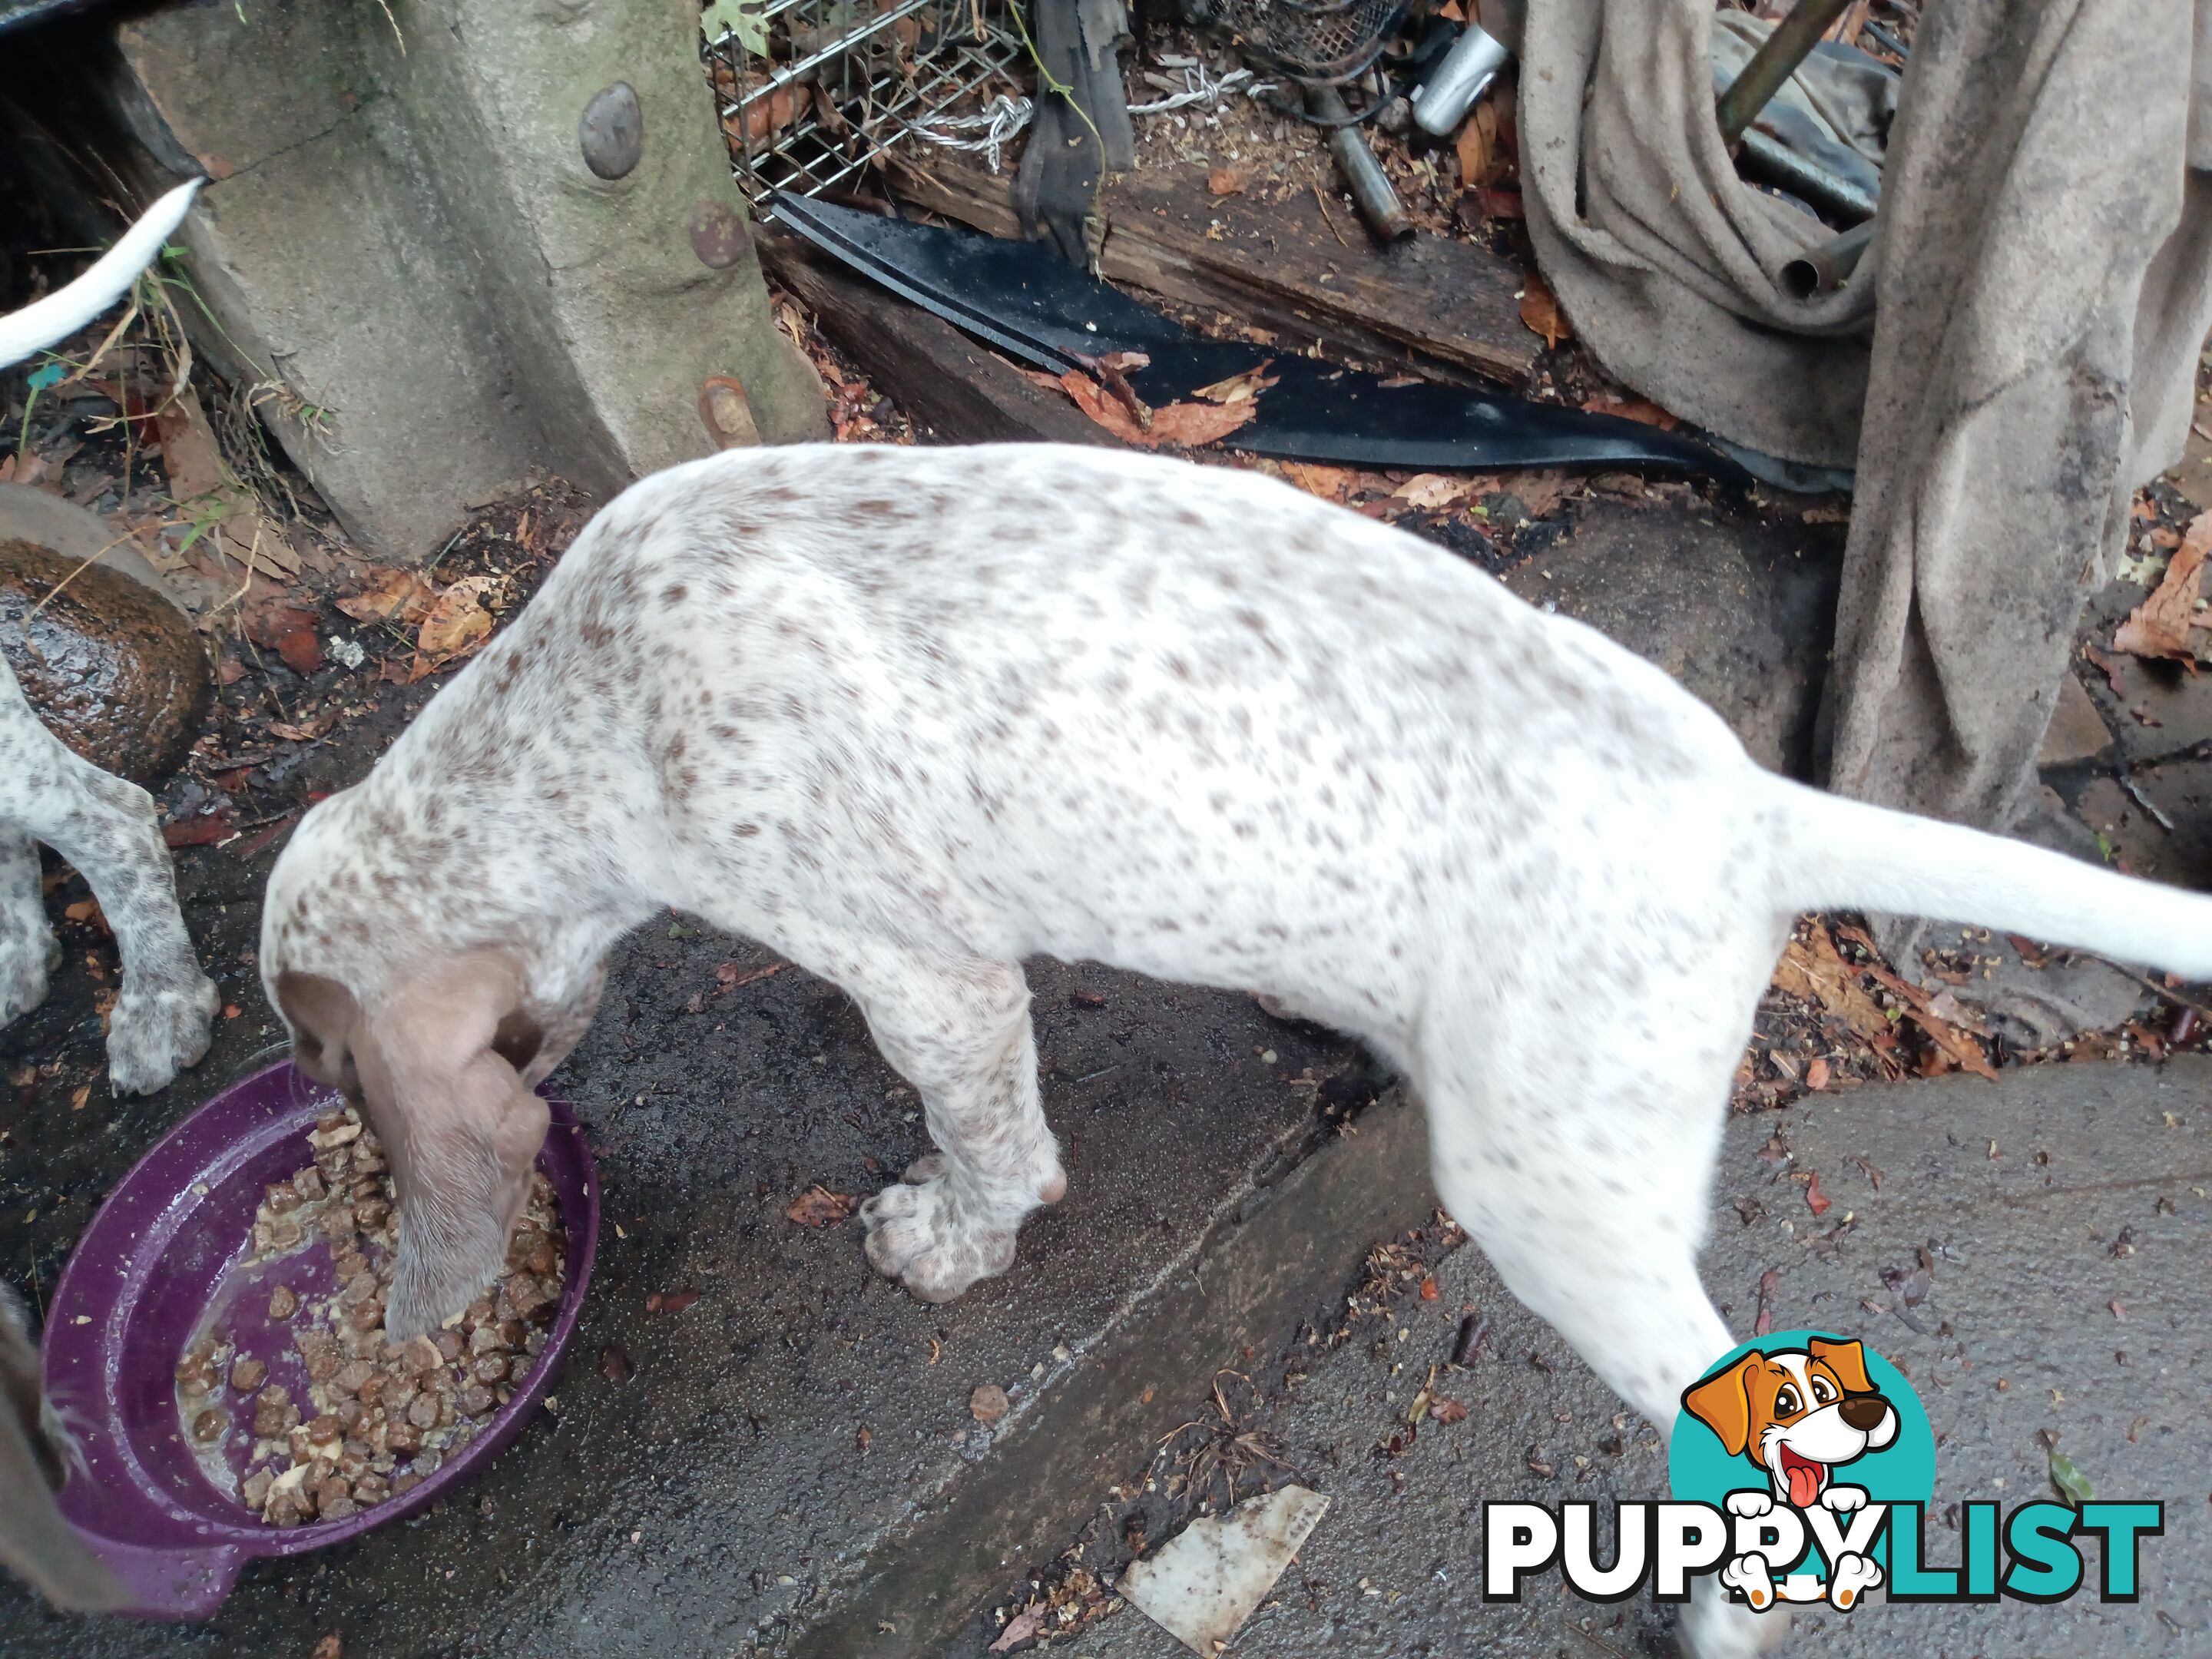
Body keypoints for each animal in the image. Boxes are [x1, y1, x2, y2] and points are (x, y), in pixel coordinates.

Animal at [267, 444, 2212, 1659]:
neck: (577, 710)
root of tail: (1749, 809)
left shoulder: (935, 977)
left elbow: (989, 1145)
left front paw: (946, 1239)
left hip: (1549, 1191)